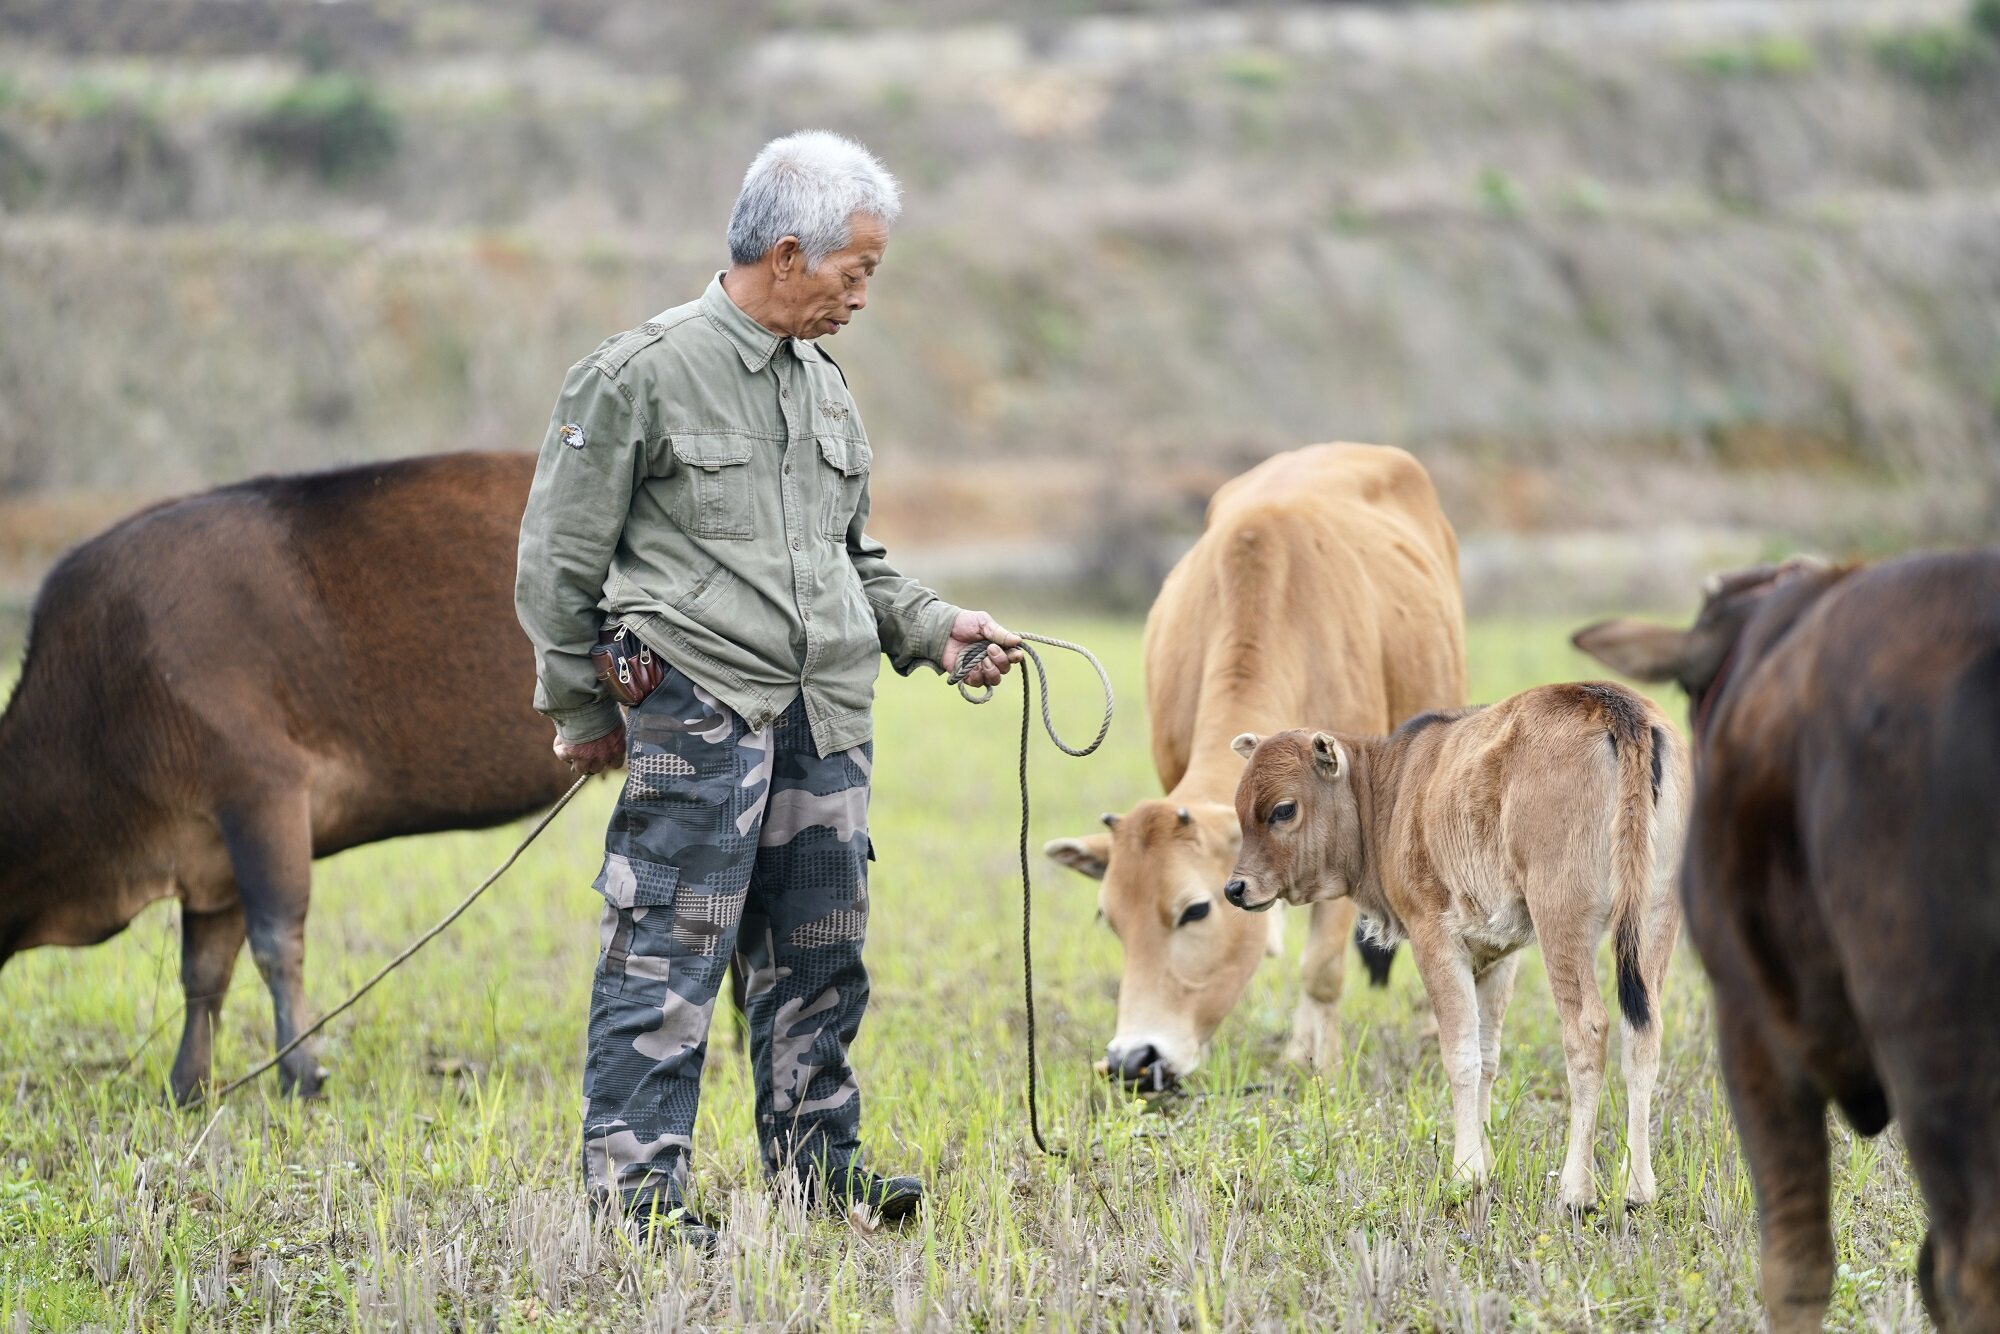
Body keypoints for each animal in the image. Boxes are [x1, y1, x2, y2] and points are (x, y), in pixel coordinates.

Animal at [0, 454, 580, 1104]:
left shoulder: (263, 789)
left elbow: (276, 943)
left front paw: (300, 1074)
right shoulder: (211, 855)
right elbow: (203, 972)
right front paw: (187, 1085)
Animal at [1224, 684, 1680, 1216]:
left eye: (1282, 810)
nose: (1236, 889)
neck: (1391, 789)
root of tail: (1614, 705)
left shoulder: (1435, 941)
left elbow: (1460, 1055)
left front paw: (1466, 1173)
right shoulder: (1499, 956)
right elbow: (1487, 1057)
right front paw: (1485, 1158)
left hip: (1561, 919)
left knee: (1587, 1030)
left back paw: (1576, 1191)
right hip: (1654, 919)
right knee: (1643, 1034)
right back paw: (1638, 1188)